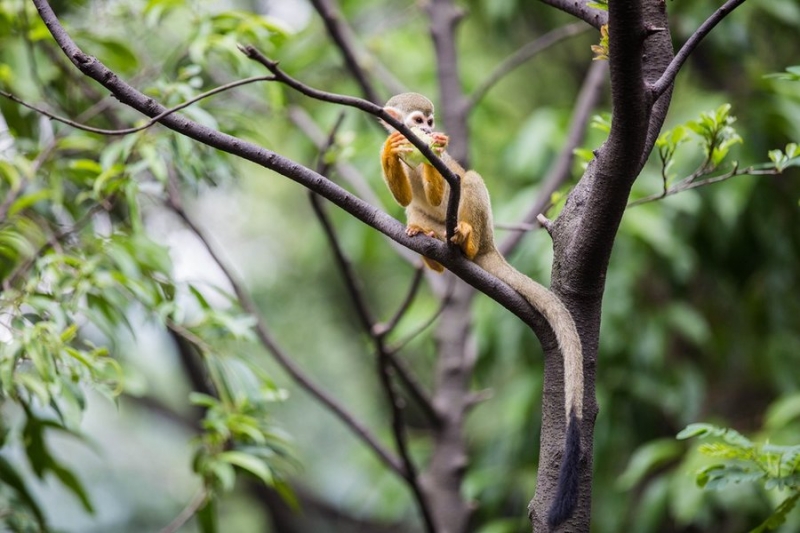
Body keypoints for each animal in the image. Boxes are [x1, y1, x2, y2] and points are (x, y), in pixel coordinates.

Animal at [380, 92, 580, 528]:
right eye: (417, 121)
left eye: (430, 121)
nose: (428, 130)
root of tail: (491, 245)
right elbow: (403, 197)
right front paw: (391, 149)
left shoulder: (446, 166)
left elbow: (445, 182)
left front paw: (435, 151)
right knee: (413, 210)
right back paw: (430, 246)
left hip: (479, 224)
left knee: (468, 179)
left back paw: (465, 242)